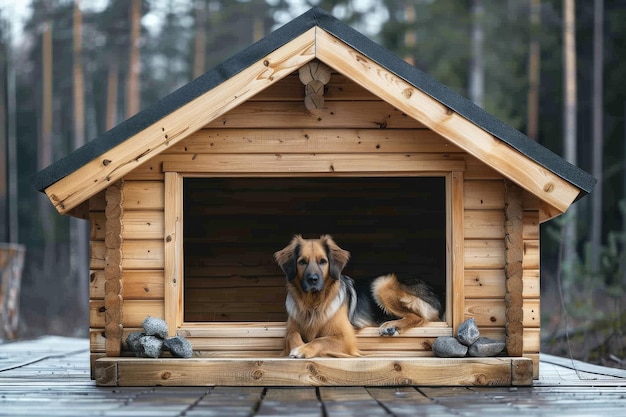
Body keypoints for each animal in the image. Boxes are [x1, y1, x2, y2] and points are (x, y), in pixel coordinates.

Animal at [272, 234, 438, 358]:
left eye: (323, 262)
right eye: (302, 262)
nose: (313, 279)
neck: (313, 304)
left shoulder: (346, 338)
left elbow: (320, 340)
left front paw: (303, 349)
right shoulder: (291, 330)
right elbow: (293, 335)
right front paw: (299, 346)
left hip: (380, 283)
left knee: (419, 317)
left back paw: (391, 326)